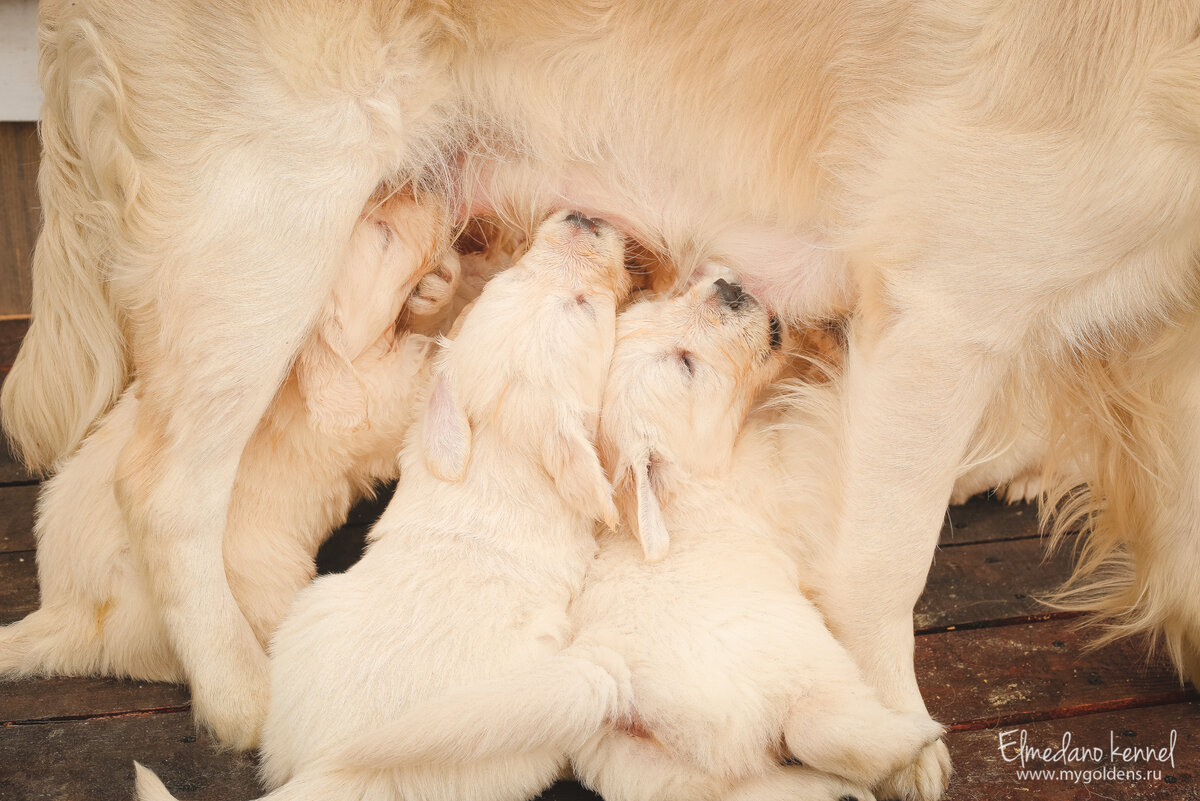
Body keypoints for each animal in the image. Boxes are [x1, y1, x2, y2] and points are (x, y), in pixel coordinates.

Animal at [0, 191, 456, 690]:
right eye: (383, 235)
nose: (438, 198)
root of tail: (69, 612)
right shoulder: (378, 409)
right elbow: (419, 376)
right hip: (264, 581)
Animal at [302, 278, 945, 801]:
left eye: (661, 304)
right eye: (685, 365)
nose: (730, 286)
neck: (698, 477)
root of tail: (623, 688)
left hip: (650, 773)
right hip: (804, 668)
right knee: (831, 732)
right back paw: (915, 739)